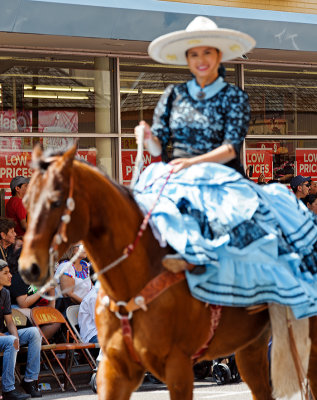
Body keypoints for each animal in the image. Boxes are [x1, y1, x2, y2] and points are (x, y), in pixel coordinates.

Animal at [19, 145, 316, 400]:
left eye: (56, 201)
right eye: (26, 200)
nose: (28, 267)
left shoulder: (178, 367)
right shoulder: (115, 368)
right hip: (251, 344)